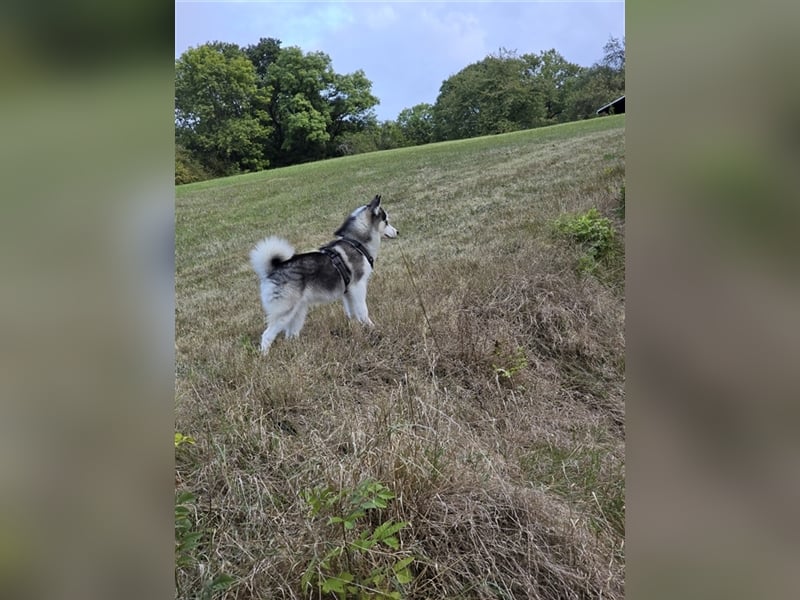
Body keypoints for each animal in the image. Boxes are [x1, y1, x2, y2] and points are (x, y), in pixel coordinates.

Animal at [250, 195, 396, 354]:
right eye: (386, 221)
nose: (398, 232)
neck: (356, 243)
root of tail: (272, 269)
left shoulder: (348, 292)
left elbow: (352, 313)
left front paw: (356, 327)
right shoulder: (358, 287)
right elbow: (363, 311)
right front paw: (372, 327)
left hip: (298, 311)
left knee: (291, 335)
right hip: (285, 311)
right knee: (267, 335)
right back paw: (265, 355)